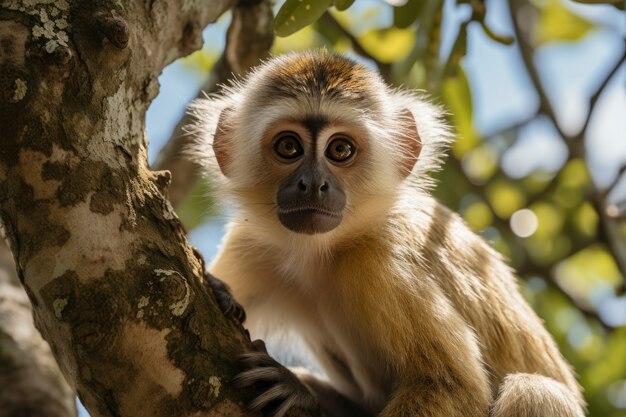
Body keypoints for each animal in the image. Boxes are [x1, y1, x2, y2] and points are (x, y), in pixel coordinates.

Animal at [186, 51, 584, 416]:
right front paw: (220, 288)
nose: (313, 184)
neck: (320, 253)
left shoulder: (384, 261)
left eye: (340, 149)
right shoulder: (252, 244)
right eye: (288, 146)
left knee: (533, 391)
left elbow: (453, 386)